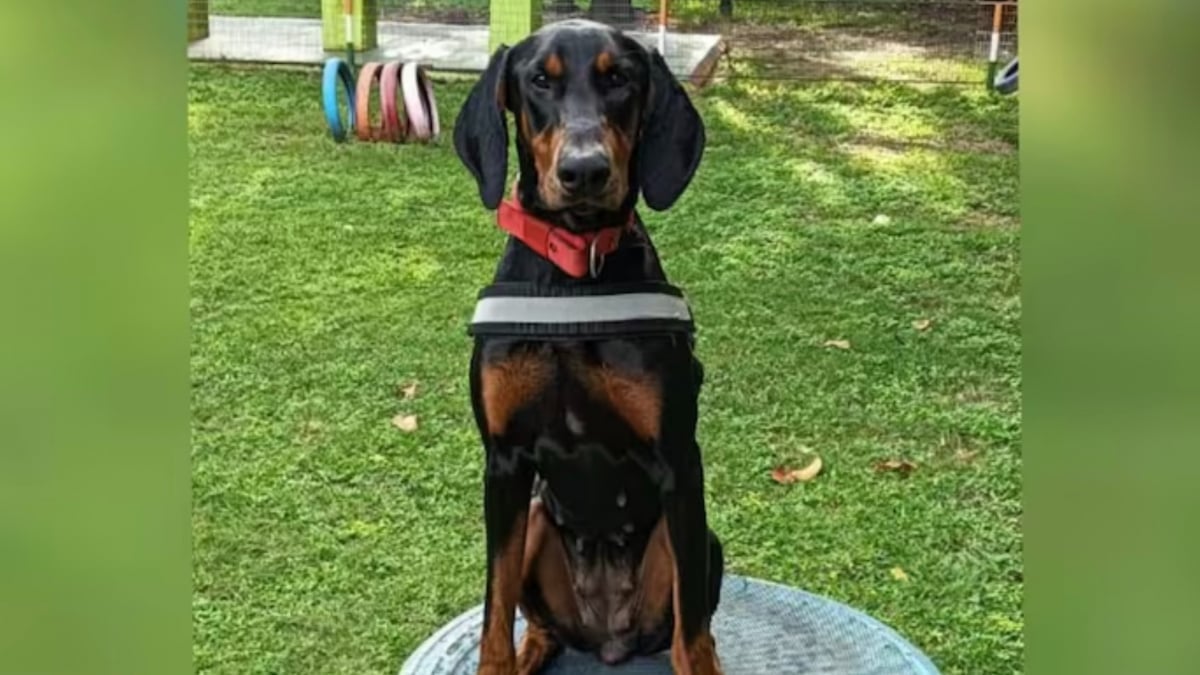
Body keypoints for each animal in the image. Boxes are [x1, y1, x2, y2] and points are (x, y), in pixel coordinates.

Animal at [453, 18, 720, 667]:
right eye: (538, 81)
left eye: (619, 78)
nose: (585, 171)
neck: (575, 270)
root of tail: (609, 635)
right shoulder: (503, 463)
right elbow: (493, 616)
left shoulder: (680, 463)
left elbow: (693, 639)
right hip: (533, 520)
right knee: (542, 627)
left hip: (700, 540)